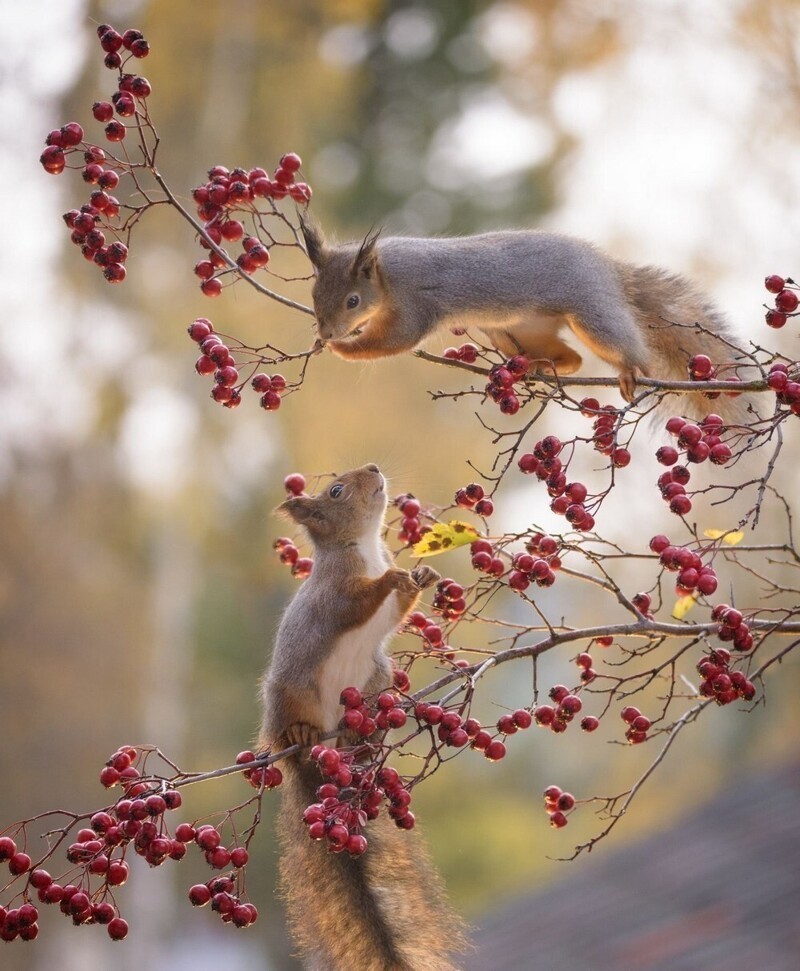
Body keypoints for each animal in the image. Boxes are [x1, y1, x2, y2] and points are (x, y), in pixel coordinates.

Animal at [260, 464, 468, 971]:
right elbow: (358, 602)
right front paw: (394, 577)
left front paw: (423, 574)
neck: (368, 548)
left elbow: (397, 610)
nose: (373, 468)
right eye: (336, 491)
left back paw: (363, 732)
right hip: (289, 693)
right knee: (288, 727)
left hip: (377, 676)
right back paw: (299, 731)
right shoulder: (337, 592)